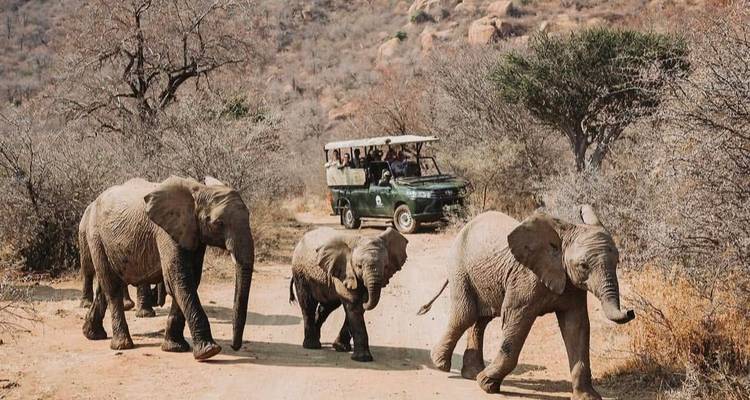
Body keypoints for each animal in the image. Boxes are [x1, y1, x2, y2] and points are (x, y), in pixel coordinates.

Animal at [79, 176, 254, 360]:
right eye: (219, 223)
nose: (235, 346)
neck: (199, 190)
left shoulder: (193, 233)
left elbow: (191, 279)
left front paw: (175, 348)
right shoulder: (165, 232)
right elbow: (178, 279)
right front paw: (209, 352)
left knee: (105, 286)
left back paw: (92, 334)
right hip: (95, 236)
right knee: (112, 287)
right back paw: (122, 345)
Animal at [289, 227, 408, 362]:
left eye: (386, 266)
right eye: (359, 266)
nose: (366, 299)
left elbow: (356, 309)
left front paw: (340, 348)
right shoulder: (344, 271)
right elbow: (353, 305)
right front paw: (363, 359)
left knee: (326, 307)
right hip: (301, 273)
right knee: (307, 304)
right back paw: (312, 346)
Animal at [419, 206, 634, 399]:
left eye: (617, 262)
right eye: (583, 266)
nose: (630, 311)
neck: (561, 239)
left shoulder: (571, 284)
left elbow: (576, 326)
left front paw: (587, 397)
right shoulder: (524, 280)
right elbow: (516, 322)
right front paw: (487, 385)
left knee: (481, 319)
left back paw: (471, 374)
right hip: (459, 266)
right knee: (465, 314)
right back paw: (441, 364)